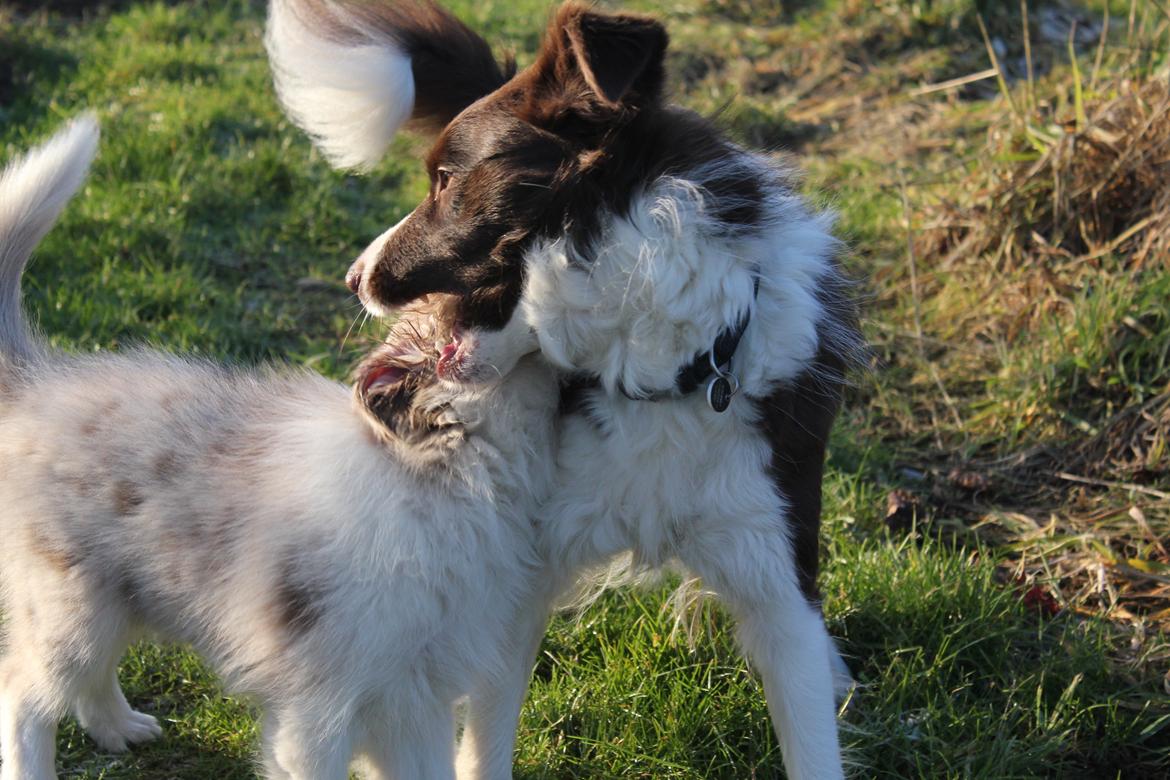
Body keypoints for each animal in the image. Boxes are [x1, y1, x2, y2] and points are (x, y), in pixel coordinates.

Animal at [269, 3, 865, 776]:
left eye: (445, 181)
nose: (354, 276)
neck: (656, 369)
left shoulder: (774, 565)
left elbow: (808, 724)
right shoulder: (522, 574)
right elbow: (485, 741)